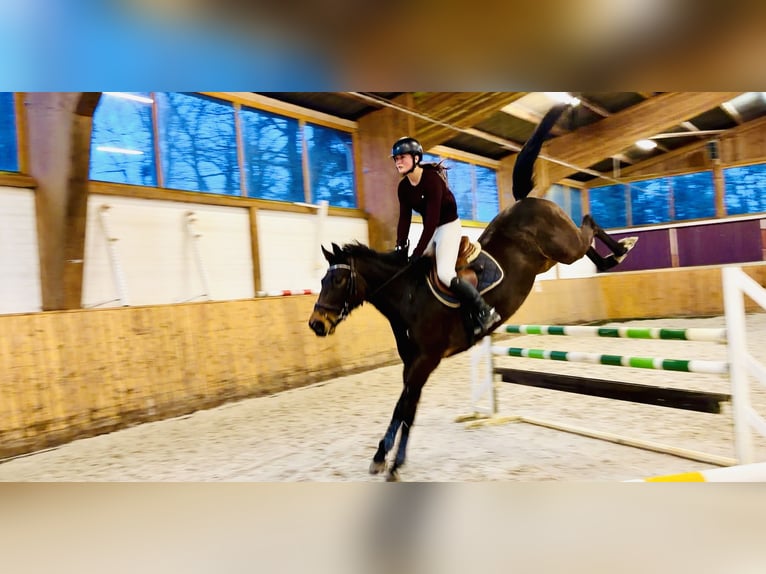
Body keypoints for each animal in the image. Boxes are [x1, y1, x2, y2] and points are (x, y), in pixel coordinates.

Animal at [308, 103, 637, 481]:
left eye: (337, 281)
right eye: (322, 281)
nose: (316, 324)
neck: (408, 298)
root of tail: (526, 201)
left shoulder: (426, 360)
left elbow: (405, 407)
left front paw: (389, 459)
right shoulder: (412, 364)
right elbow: (406, 407)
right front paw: (388, 458)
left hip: (563, 246)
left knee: (588, 223)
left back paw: (623, 248)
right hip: (551, 257)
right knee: (586, 243)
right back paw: (611, 258)